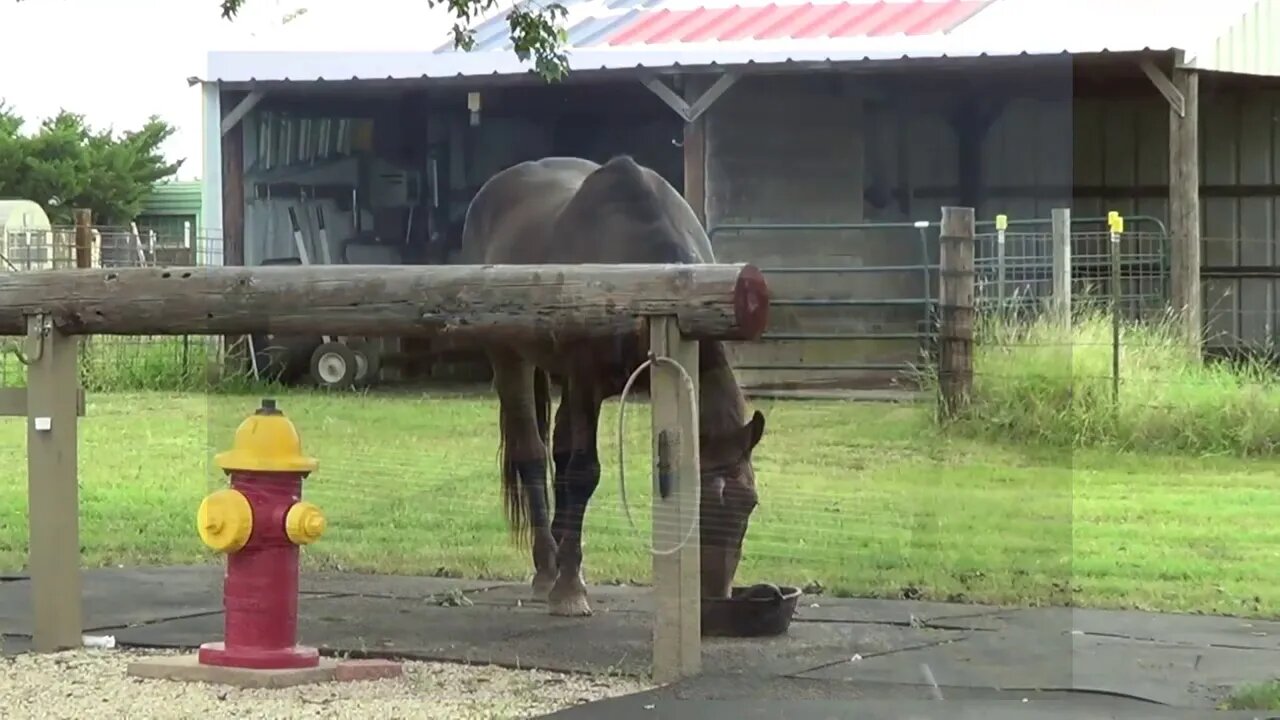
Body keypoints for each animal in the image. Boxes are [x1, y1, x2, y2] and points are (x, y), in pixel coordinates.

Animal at [458, 154, 762, 614]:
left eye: (750, 504)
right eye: (699, 503)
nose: (714, 595)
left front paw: (572, 572)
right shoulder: (586, 381)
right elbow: (584, 472)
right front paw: (569, 590)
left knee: (559, 451)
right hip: (510, 358)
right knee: (533, 454)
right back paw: (547, 569)